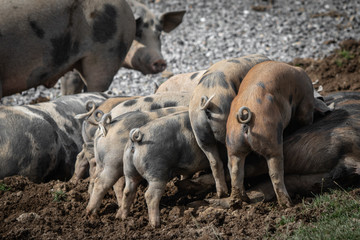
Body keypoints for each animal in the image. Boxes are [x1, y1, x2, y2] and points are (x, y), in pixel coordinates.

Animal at [188, 54, 270, 199]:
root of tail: (207, 101)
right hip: (222, 125)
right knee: (231, 163)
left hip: (200, 131)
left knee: (215, 163)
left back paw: (222, 194)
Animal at [228, 61, 332, 207]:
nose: (328, 110)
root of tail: (245, 118)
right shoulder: (305, 104)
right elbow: (305, 118)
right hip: (271, 137)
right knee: (275, 173)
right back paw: (287, 204)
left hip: (233, 143)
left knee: (236, 172)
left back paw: (240, 202)